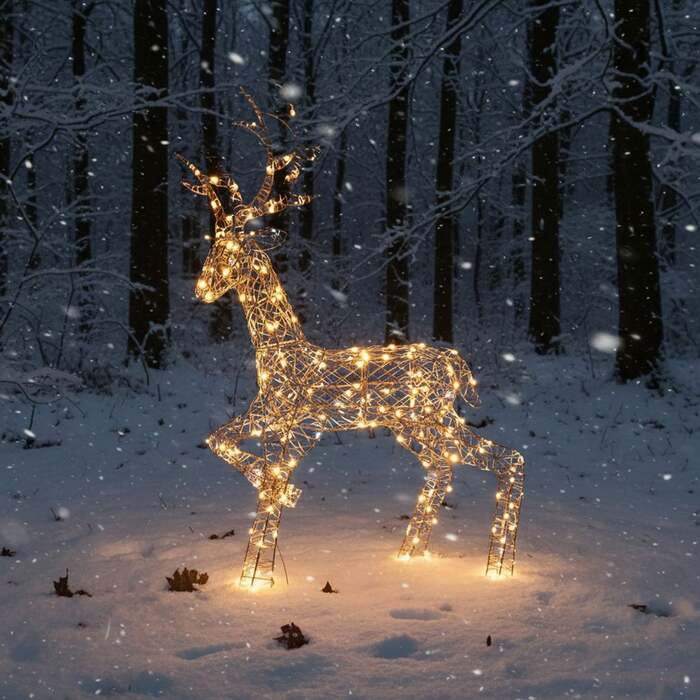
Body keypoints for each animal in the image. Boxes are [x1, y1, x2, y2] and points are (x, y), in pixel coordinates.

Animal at [178, 89, 525, 590]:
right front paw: (253, 574)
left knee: (507, 459)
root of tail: (457, 365)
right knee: (445, 467)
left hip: (434, 417)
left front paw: (260, 574)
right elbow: (224, 445)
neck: (277, 354)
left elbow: (267, 483)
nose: (201, 289)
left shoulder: (301, 427)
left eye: (234, 249)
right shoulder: (270, 420)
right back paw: (411, 555)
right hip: (413, 425)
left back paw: (498, 569)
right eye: (211, 244)